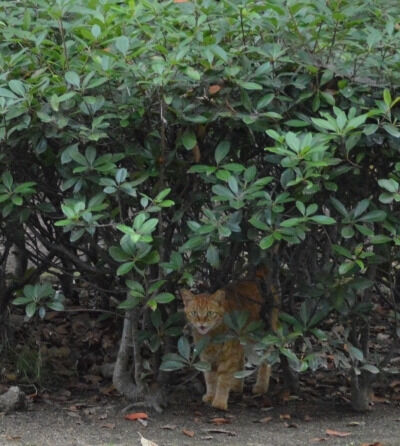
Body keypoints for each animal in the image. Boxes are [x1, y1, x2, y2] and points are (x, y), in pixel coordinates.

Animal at [181, 274, 279, 410]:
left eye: (210, 313)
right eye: (194, 313)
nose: (201, 324)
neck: (211, 336)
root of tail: (257, 276)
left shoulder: (228, 358)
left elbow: (223, 380)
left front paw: (219, 402)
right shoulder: (206, 358)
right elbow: (210, 379)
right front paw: (211, 395)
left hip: (260, 340)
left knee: (266, 361)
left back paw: (261, 386)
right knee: (241, 361)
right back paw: (236, 386)